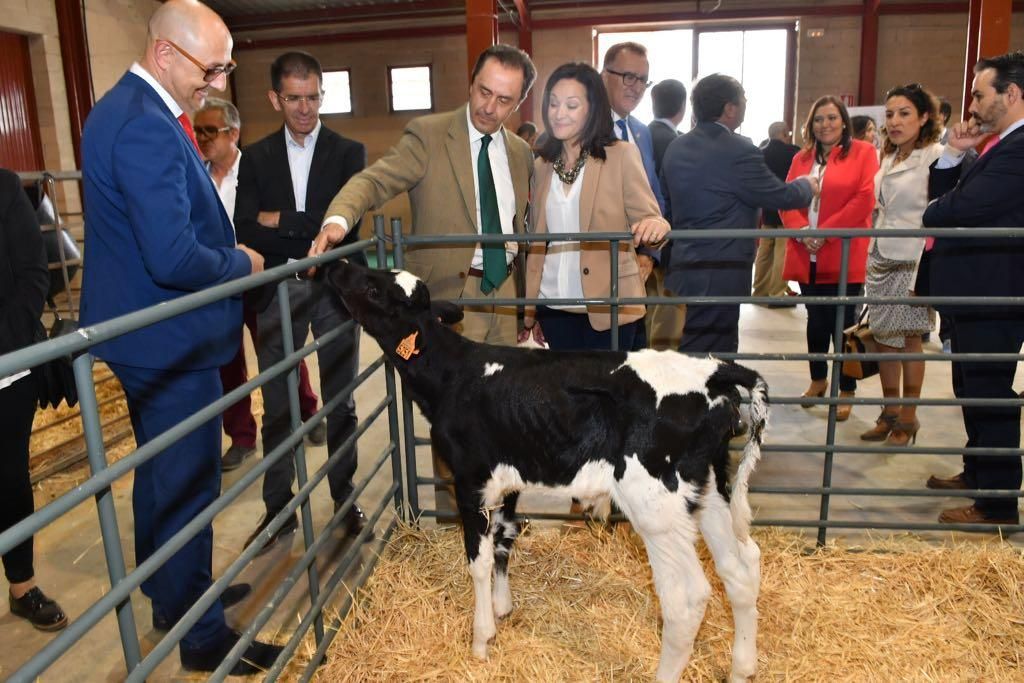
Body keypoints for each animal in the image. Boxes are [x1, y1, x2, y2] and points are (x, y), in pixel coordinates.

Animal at [327, 264, 770, 683]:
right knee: (741, 566)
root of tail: (714, 373)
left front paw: (481, 641)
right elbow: (504, 541)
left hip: (656, 506)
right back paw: (742, 668)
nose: (339, 266)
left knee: (687, 597)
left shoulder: (471, 479)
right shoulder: (507, 480)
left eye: (373, 289)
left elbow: (478, 562)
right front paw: (502, 609)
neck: (454, 376)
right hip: (708, 490)